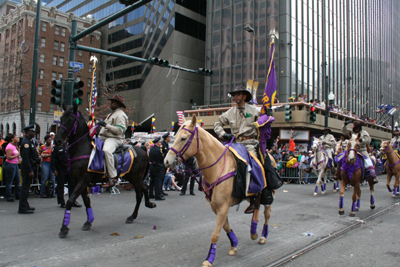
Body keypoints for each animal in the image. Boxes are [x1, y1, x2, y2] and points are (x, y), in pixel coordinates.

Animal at [52, 104, 154, 239]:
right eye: (61, 119)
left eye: (71, 119)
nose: (57, 141)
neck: (83, 150)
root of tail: (142, 149)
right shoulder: (80, 182)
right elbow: (86, 201)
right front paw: (88, 221)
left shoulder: (82, 181)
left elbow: (70, 201)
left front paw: (64, 229)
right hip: (132, 177)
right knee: (145, 187)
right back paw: (149, 204)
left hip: (136, 177)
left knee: (139, 195)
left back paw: (132, 216)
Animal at [165, 115, 276, 267]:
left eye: (183, 138)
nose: (167, 161)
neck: (217, 169)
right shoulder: (216, 207)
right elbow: (225, 227)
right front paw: (234, 244)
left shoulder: (223, 206)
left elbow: (216, 234)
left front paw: (209, 258)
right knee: (256, 206)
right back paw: (253, 231)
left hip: (268, 194)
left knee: (267, 213)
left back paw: (262, 236)